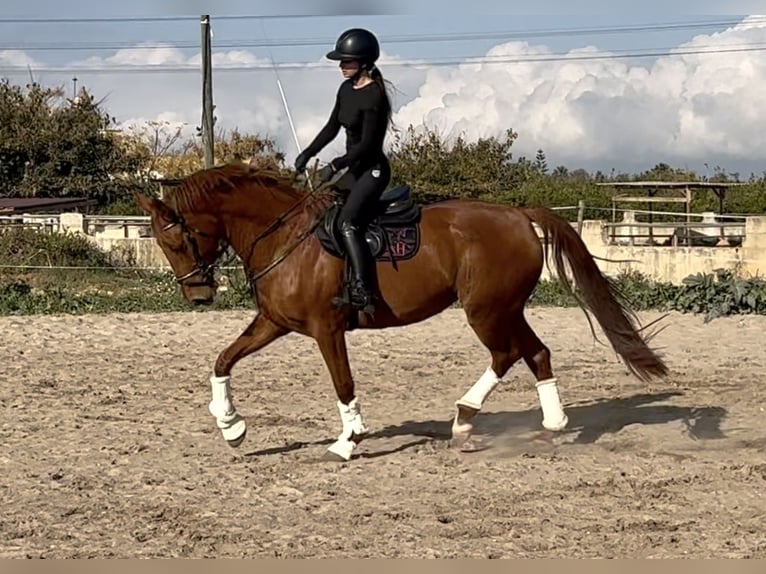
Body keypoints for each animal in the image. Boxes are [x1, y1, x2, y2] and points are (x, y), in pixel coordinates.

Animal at [135, 161, 668, 461]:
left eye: (176, 239)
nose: (198, 296)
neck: (286, 236)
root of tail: (519, 214)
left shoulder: (326, 328)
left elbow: (343, 383)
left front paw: (348, 441)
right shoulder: (276, 323)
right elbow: (223, 360)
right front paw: (231, 427)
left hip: (487, 310)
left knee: (510, 354)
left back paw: (471, 417)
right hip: (504, 308)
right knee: (533, 354)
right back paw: (533, 425)